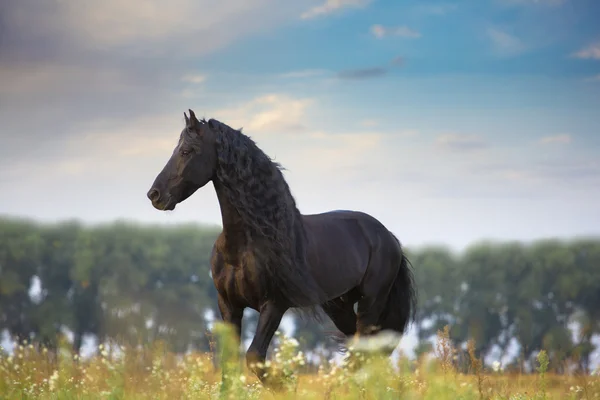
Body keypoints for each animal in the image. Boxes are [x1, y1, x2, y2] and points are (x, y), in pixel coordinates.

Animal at [146, 111, 418, 382]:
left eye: (187, 151)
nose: (155, 195)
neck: (242, 247)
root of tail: (387, 236)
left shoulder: (274, 304)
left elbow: (255, 357)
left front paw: (288, 384)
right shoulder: (229, 305)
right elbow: (229, 363)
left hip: (371, 302)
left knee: (365, 352)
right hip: (339, 305)